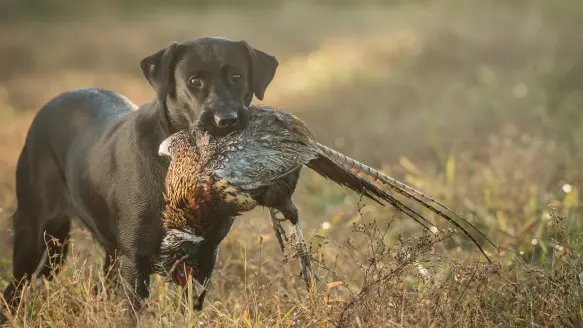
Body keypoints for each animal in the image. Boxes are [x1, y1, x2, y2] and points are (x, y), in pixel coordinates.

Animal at [0, 36, 278, 320]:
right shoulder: (135, 259)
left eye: (236, 76)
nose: (226, 120)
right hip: (33, 231)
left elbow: (189, 309)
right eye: (194, 81)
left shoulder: (205, 255)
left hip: (102, 251)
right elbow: (132, 314)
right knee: (15, 287)